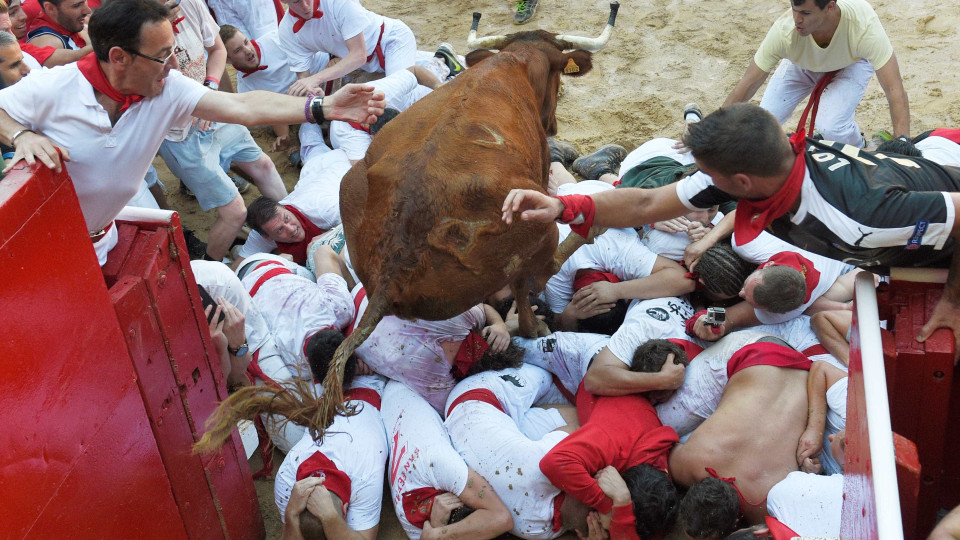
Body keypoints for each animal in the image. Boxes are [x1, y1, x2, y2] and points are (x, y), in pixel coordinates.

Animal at [320, 4, 624, 432]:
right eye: (558, 77)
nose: (554, 124)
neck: (515, 61)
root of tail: (395, 259)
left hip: (351, 185)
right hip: (538, 223)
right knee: (533, 277)